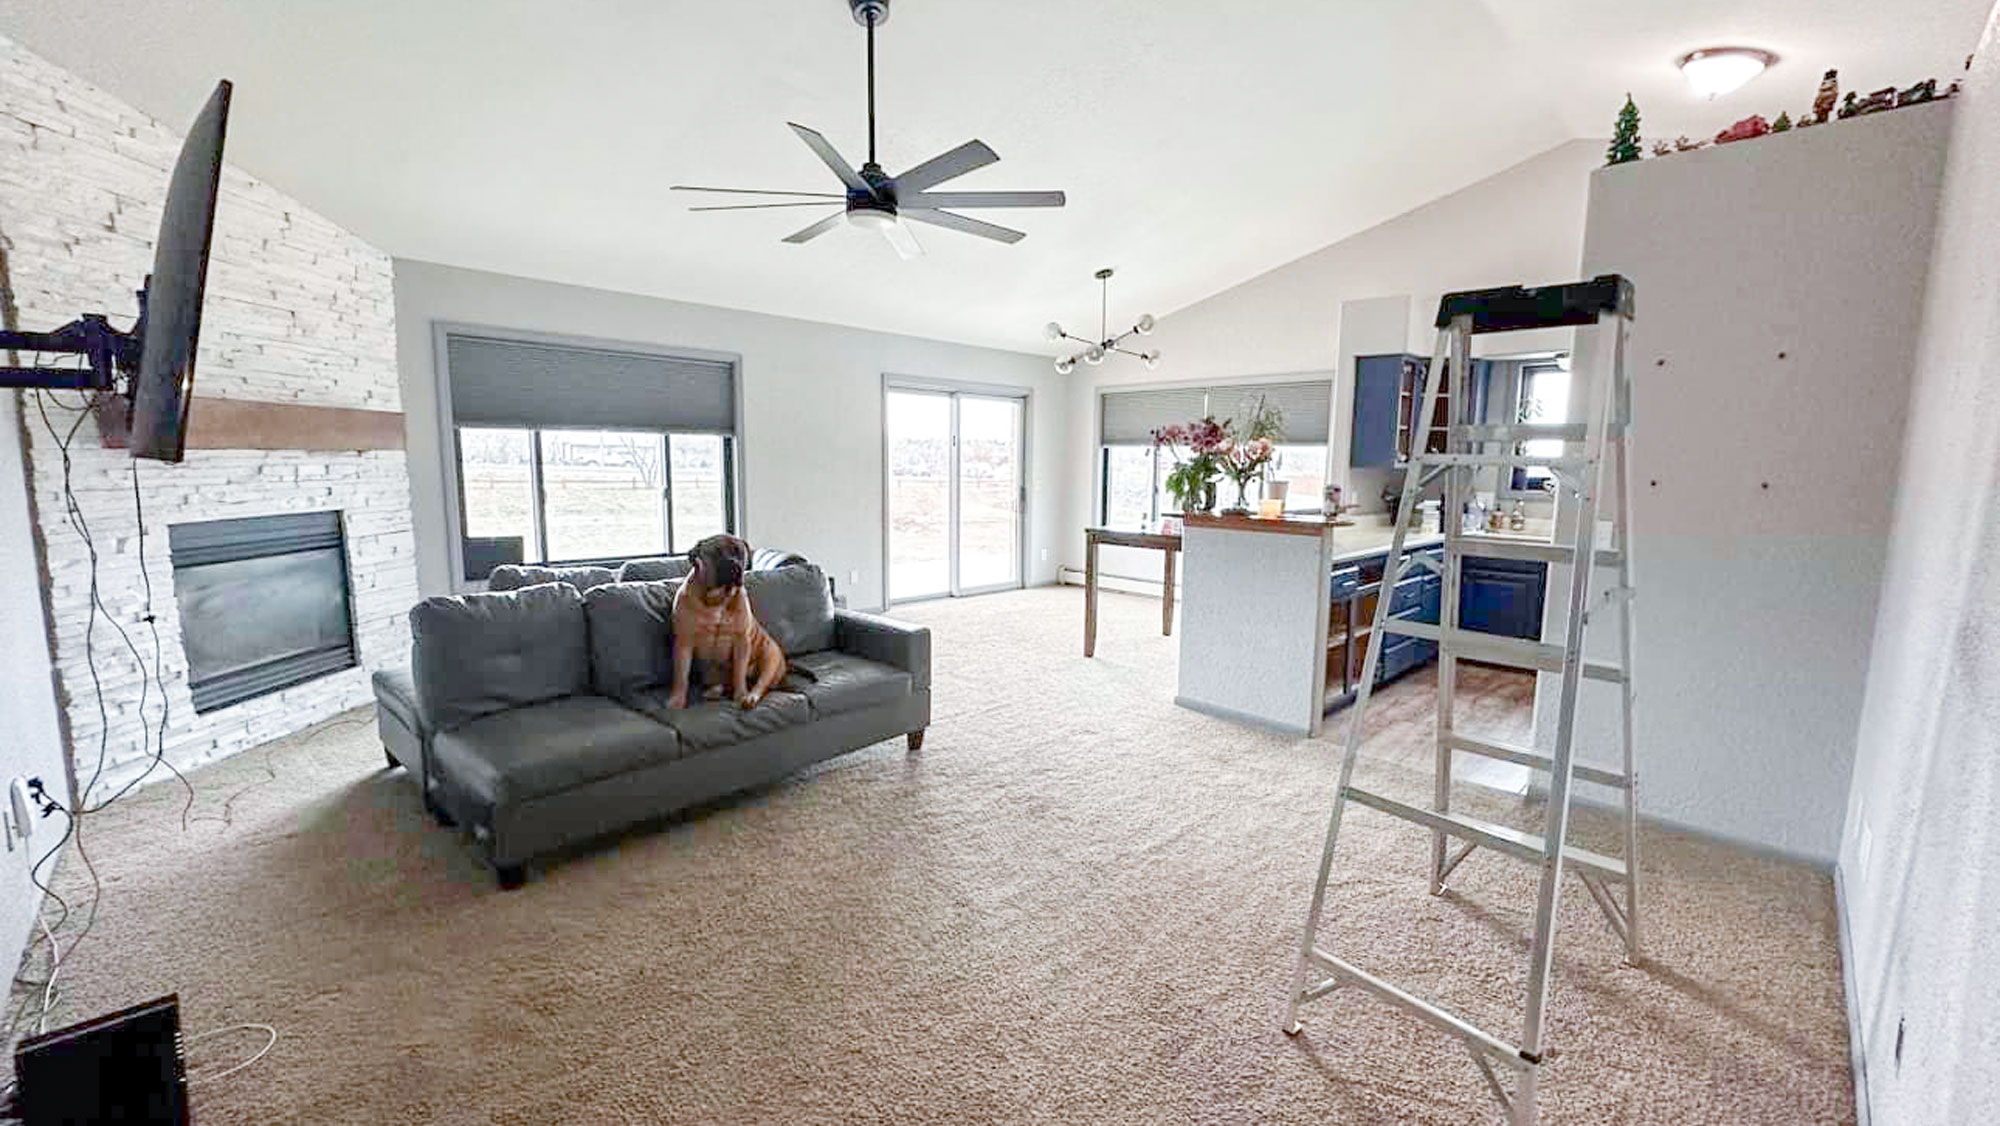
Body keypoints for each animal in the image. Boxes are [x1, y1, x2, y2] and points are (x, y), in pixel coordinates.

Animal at [668, 536, 784, 708]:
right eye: (716, 553)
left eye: (739, 552)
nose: (734, 564)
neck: (718, 598)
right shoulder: (683, 642)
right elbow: (681, 675)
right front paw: (677, 700)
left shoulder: (742, 641)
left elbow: (739, 672)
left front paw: (741, 695)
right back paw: (715, 691)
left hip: (770, 659)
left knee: (760, 684)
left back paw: (749, 697)